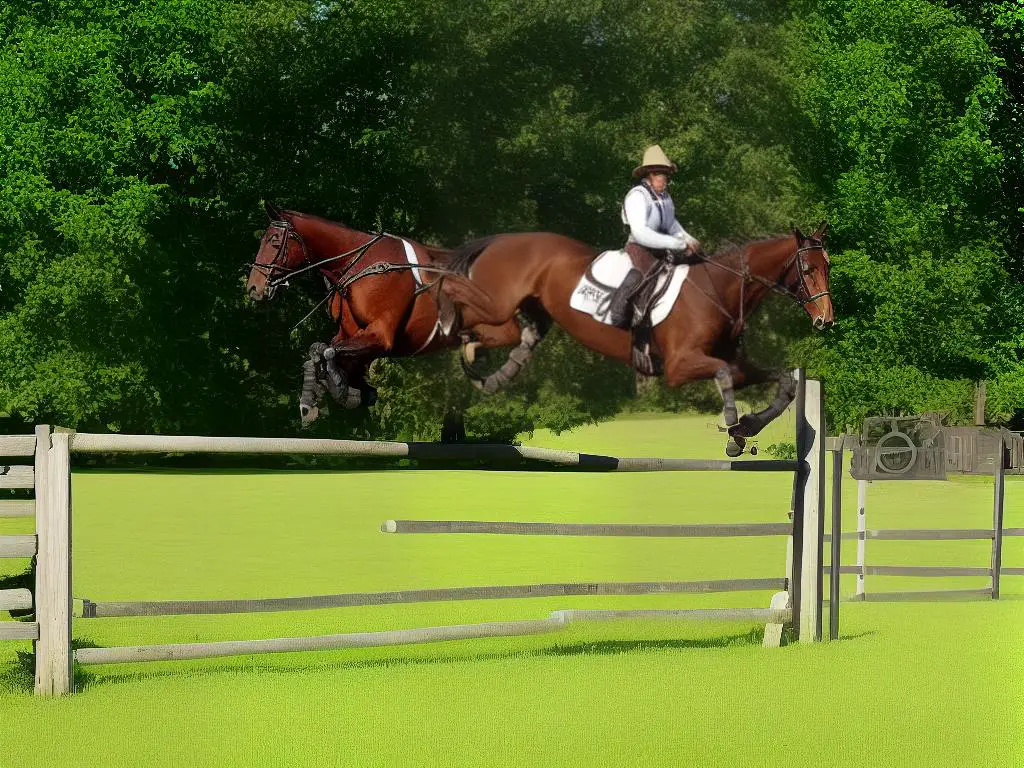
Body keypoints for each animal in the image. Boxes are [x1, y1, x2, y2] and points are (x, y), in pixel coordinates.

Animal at [247, 204, 831, 456]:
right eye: (809, 268)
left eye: (272, 243)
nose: (253, 289)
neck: (360, 267)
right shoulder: (373, 342)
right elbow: (324, 351)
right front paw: (329, 398)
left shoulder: (385, 339)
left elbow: (779, 381)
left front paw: (741, 427)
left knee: (502, 333)